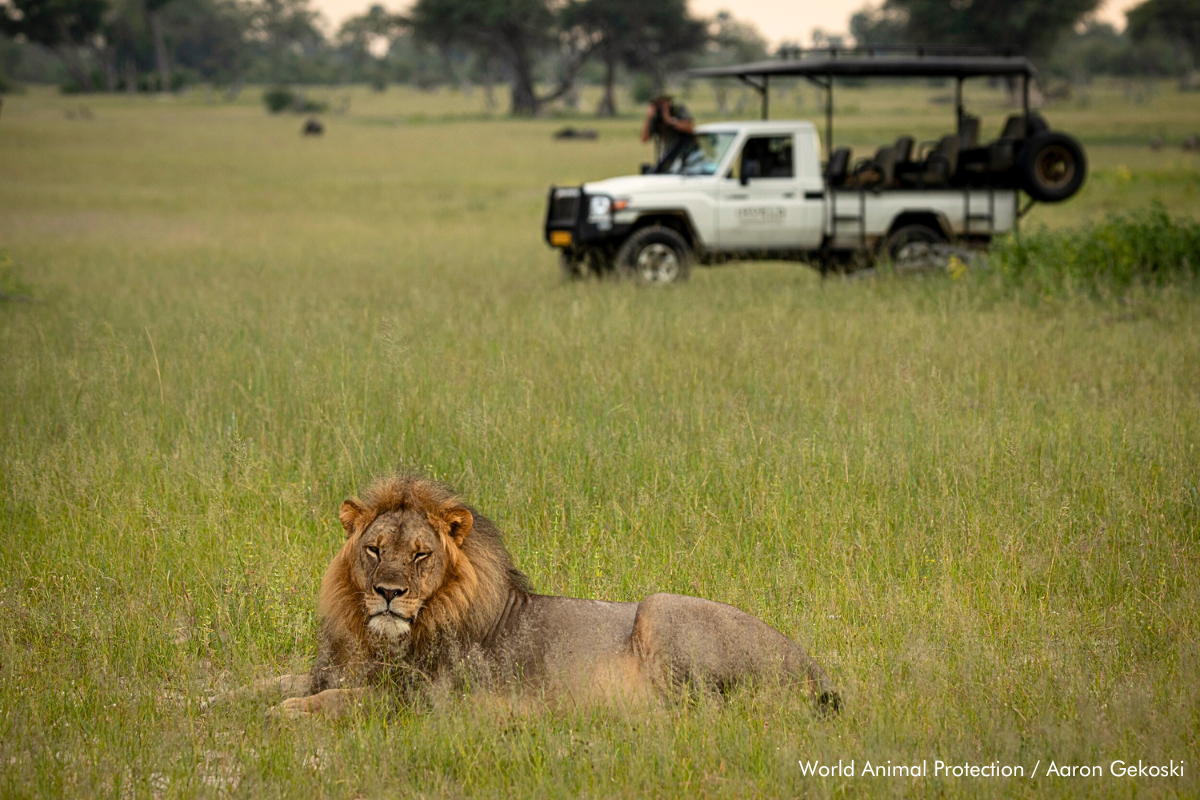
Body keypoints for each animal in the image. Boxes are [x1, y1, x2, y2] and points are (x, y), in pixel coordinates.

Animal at [248, 474, 840, 719]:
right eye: (373, 550)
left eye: (420, 555)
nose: (388, 593)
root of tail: (818, 671)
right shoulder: (340, 669)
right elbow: (274, 682)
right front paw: (236, 697)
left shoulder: (424, 697)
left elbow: (342, 700)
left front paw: (288, 713)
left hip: (661, 609)